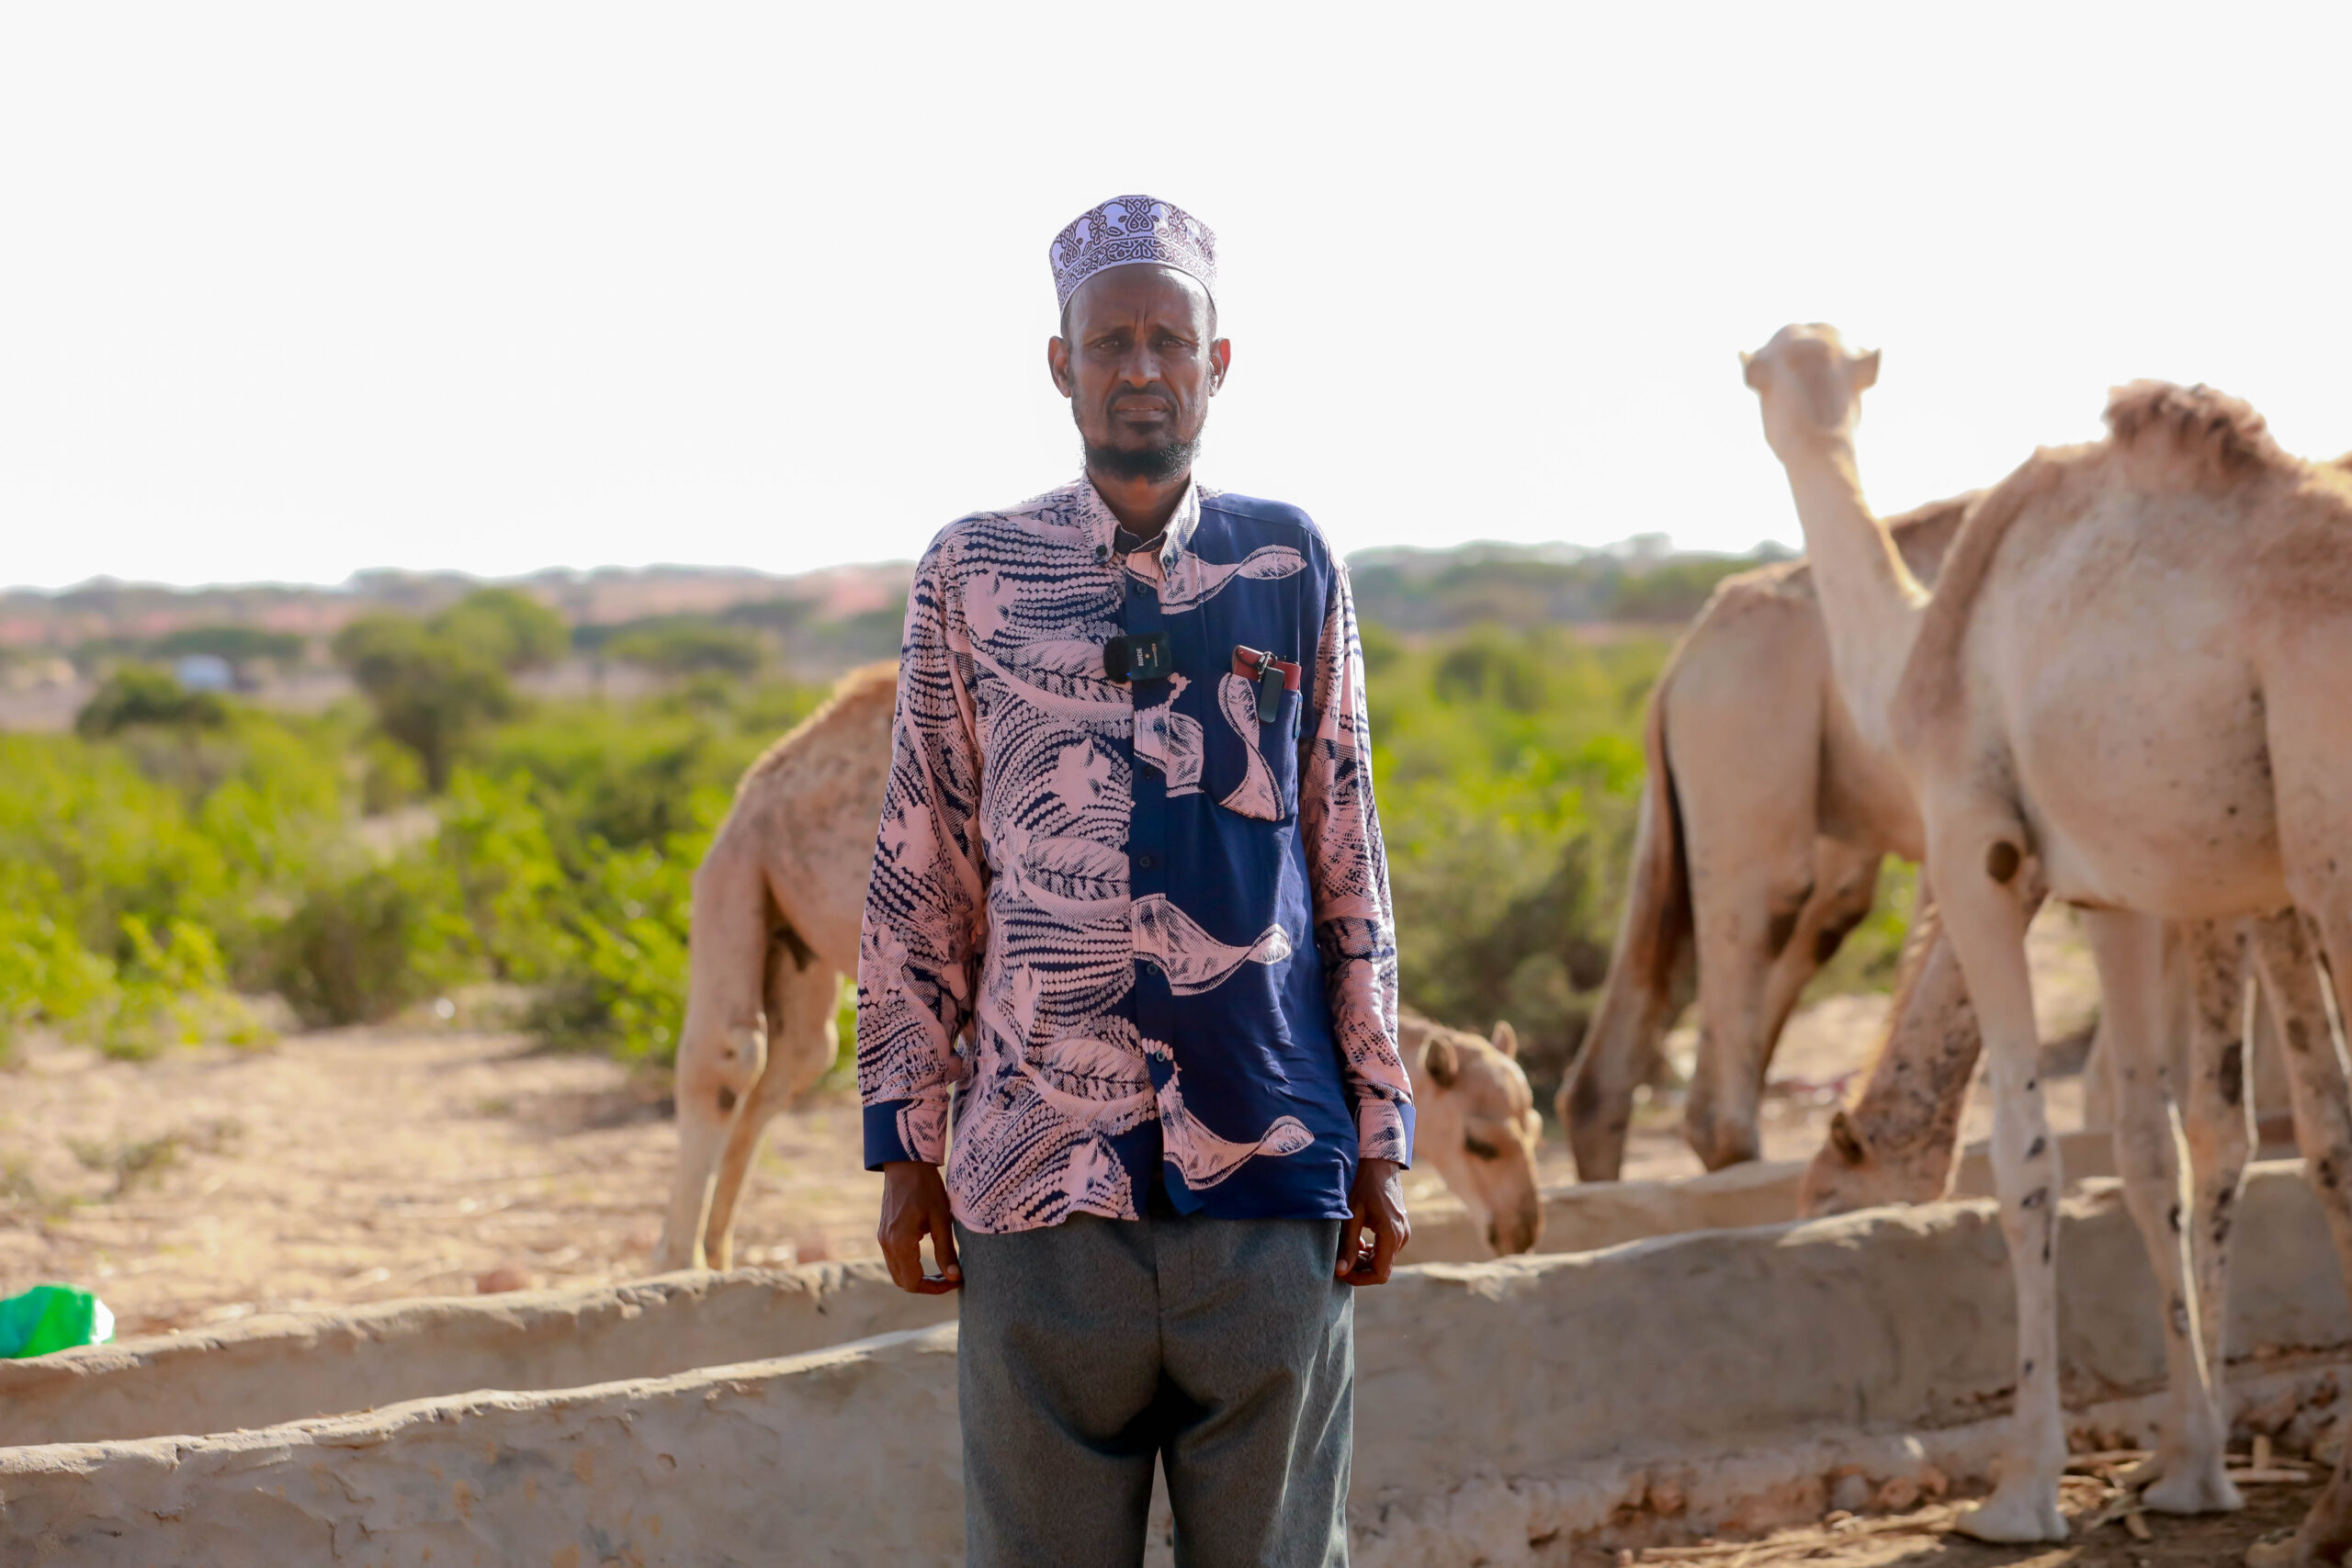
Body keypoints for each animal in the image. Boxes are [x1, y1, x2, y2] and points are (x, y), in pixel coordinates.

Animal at [1743, 324, 2352, 1557]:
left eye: (1832, 1181)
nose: (1805, 1220)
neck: (1918, 647)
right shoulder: (2119, 896)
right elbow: (2151, 1148)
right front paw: (2188, 1467)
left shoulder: (1977, 853)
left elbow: (2028, 1157)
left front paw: (2020, 1492)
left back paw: (2326, 1517)